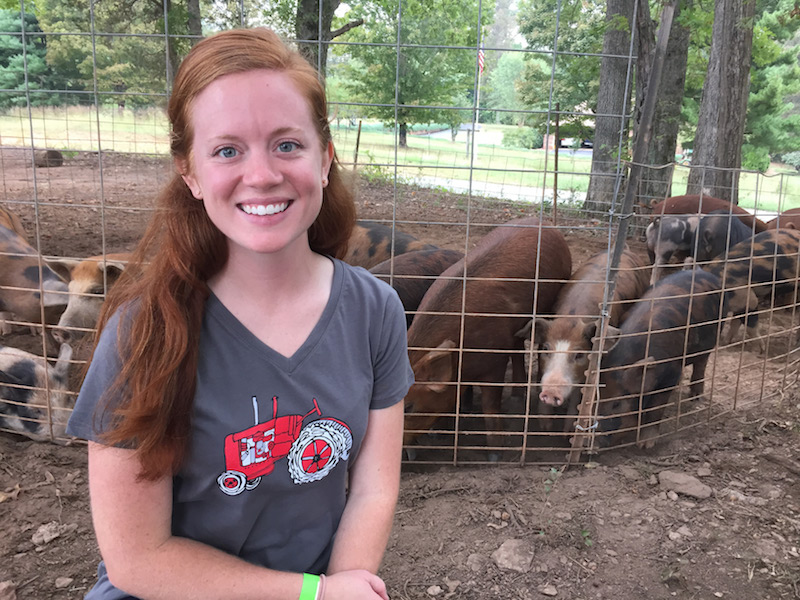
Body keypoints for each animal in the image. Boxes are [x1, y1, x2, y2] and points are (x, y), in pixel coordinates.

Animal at [404, 217, 572, 454]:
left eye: (409, 407)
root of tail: (542, 221)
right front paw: (441, 430)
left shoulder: (495, 361)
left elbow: (490, 405)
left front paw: (495, 453)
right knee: (517, 345)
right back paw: (517, 395)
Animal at [520, 248, 652, 432]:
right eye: (546, 349)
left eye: (579, 355)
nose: (551, 392)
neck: (572, 317)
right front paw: (545, 426)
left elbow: (578, 396)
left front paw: (567, 432)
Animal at [600, 270, 724, 448]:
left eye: (617, 403)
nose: (594, 442)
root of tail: (701, 271)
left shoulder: (671, 371)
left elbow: (656, 407)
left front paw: (645, 445)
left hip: (713, 336)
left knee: (701, 364)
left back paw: (696, 397)